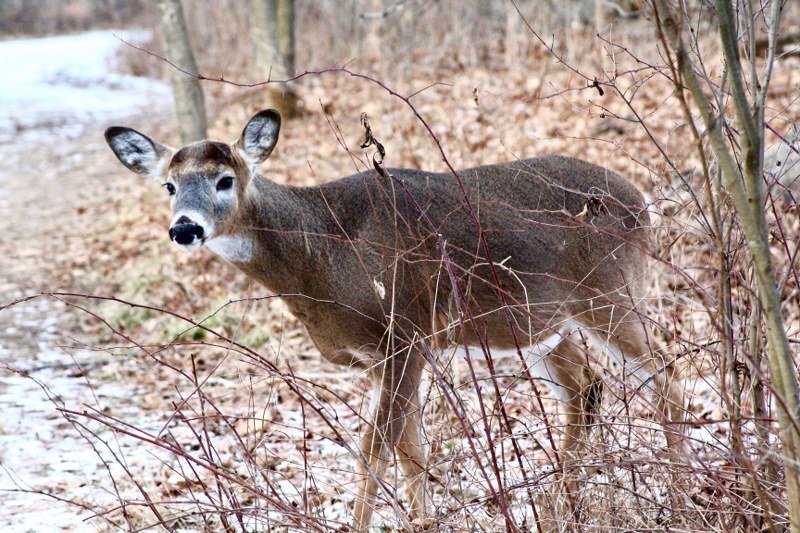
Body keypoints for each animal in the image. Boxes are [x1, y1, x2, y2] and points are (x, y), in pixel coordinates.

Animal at [103, 109, 684, 532]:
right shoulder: (384, 355)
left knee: (664, 375)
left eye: (225, 180)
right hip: (537, 327)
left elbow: (374, 449)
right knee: (587, 389)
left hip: (610, 293)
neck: (324, 256)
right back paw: (561, 509)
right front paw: (424, 522)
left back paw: (678, 497)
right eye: (169, 186)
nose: (185, 228)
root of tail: (642, 202)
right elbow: (412, 450)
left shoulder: (404, 333)